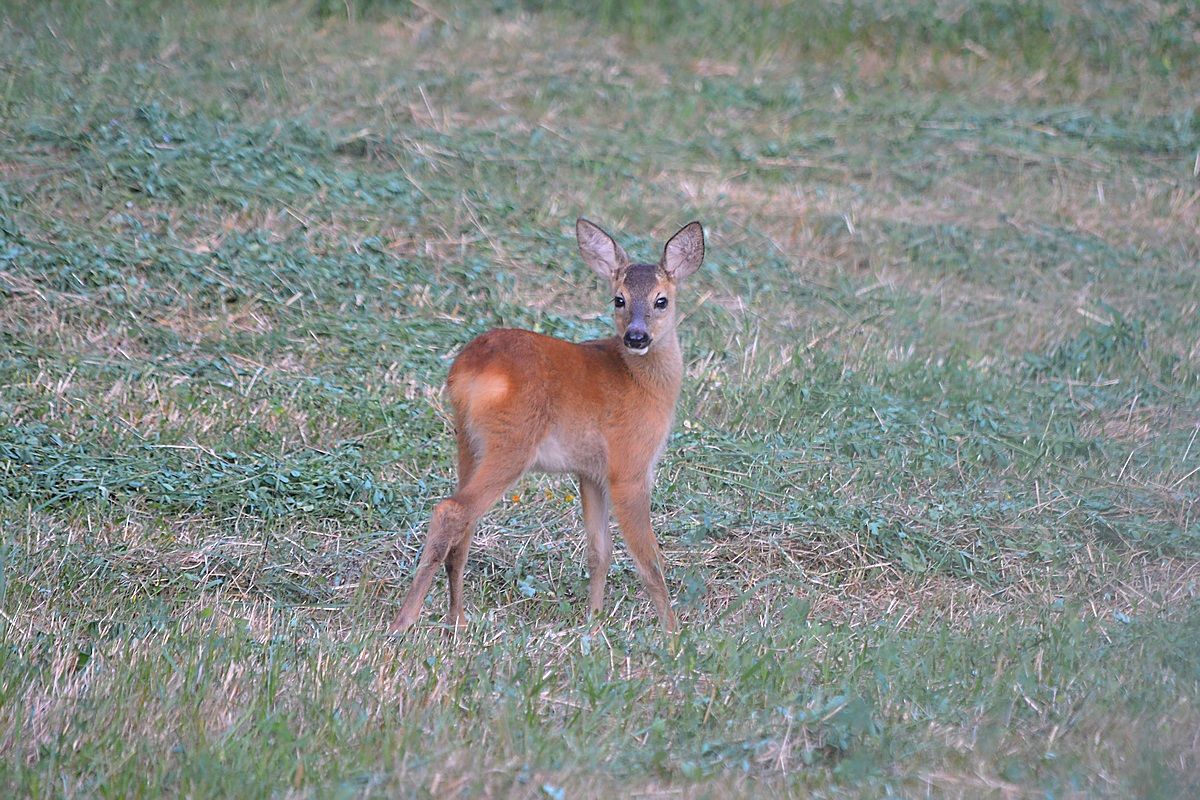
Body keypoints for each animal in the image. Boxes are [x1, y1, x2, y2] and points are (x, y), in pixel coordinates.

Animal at [389, 218, 705, 634]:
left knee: (465, 523)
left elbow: (599, 551)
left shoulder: (590, 472)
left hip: (468, 443)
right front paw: (673, 633)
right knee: (451, 511)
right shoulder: (629, 466)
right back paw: (404, 621)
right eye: (618, 299)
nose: (636, 336)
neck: (641, 383)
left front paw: (593, 623)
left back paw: (458, 619)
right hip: (512, 441)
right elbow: (648, 560)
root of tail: (467, 369)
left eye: (661, 300)